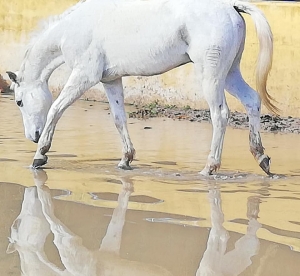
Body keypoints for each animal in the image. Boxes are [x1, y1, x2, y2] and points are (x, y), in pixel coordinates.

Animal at [7, 0, 278, 175]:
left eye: (19, 101)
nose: (33, 136)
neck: (72, 28)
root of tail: (231, 6)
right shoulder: (110, 80)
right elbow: (119, 119)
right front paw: (125, 159)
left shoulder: (85, 76)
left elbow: (55, 109)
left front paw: (40, 155)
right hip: (229, 73)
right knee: (252, 101)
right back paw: (262, 158)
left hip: (211, 76)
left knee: (220, 115)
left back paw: (209, 167)